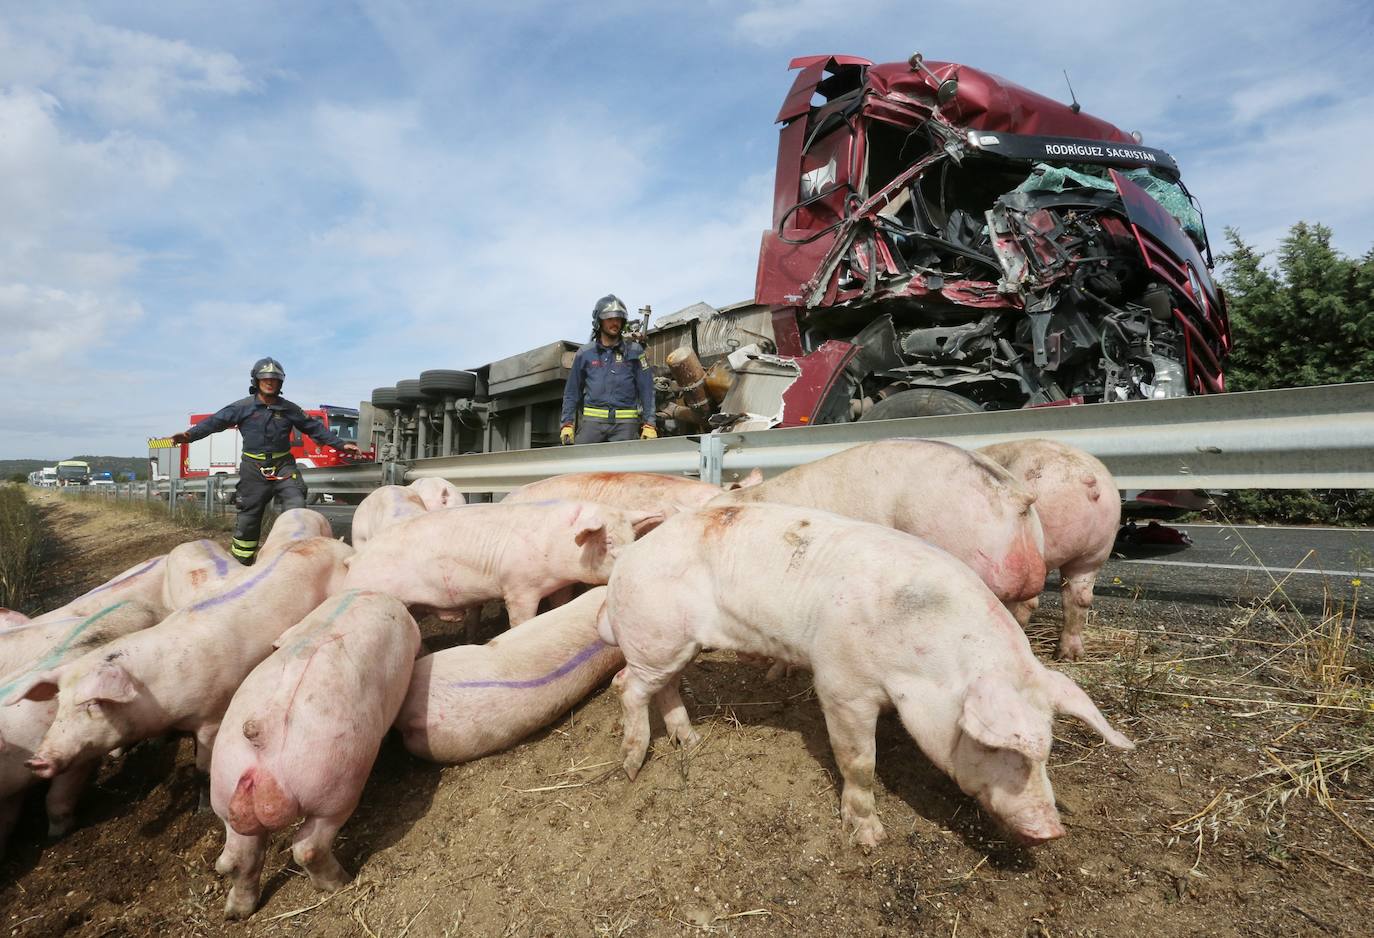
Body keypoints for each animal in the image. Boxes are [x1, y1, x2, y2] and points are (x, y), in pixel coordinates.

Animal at [210, 590, 417, 922]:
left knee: (234, 859)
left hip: (225, 789)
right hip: (333, 786)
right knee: (307, 846)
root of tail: (265, 730)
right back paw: (340, 882)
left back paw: (235, 913)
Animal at [346, 502, 662, 626]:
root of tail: (354, 560)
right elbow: (520, 619)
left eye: (633, 536)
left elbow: (559, 605)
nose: (634, 559)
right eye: (608, 542)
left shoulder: (559, 585)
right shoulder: (519, 587)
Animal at [607, 505, 1132, 851]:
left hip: (674, 644)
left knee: (663, 686)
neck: (923, 664)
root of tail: (630, 554)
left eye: (1048, 749)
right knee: (625, 686)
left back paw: (691, 743)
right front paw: (870, 840)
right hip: (655, 633)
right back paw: (631, 768)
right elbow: (859, 762)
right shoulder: (843, 686)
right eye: (995, 747)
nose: (1051, 830)